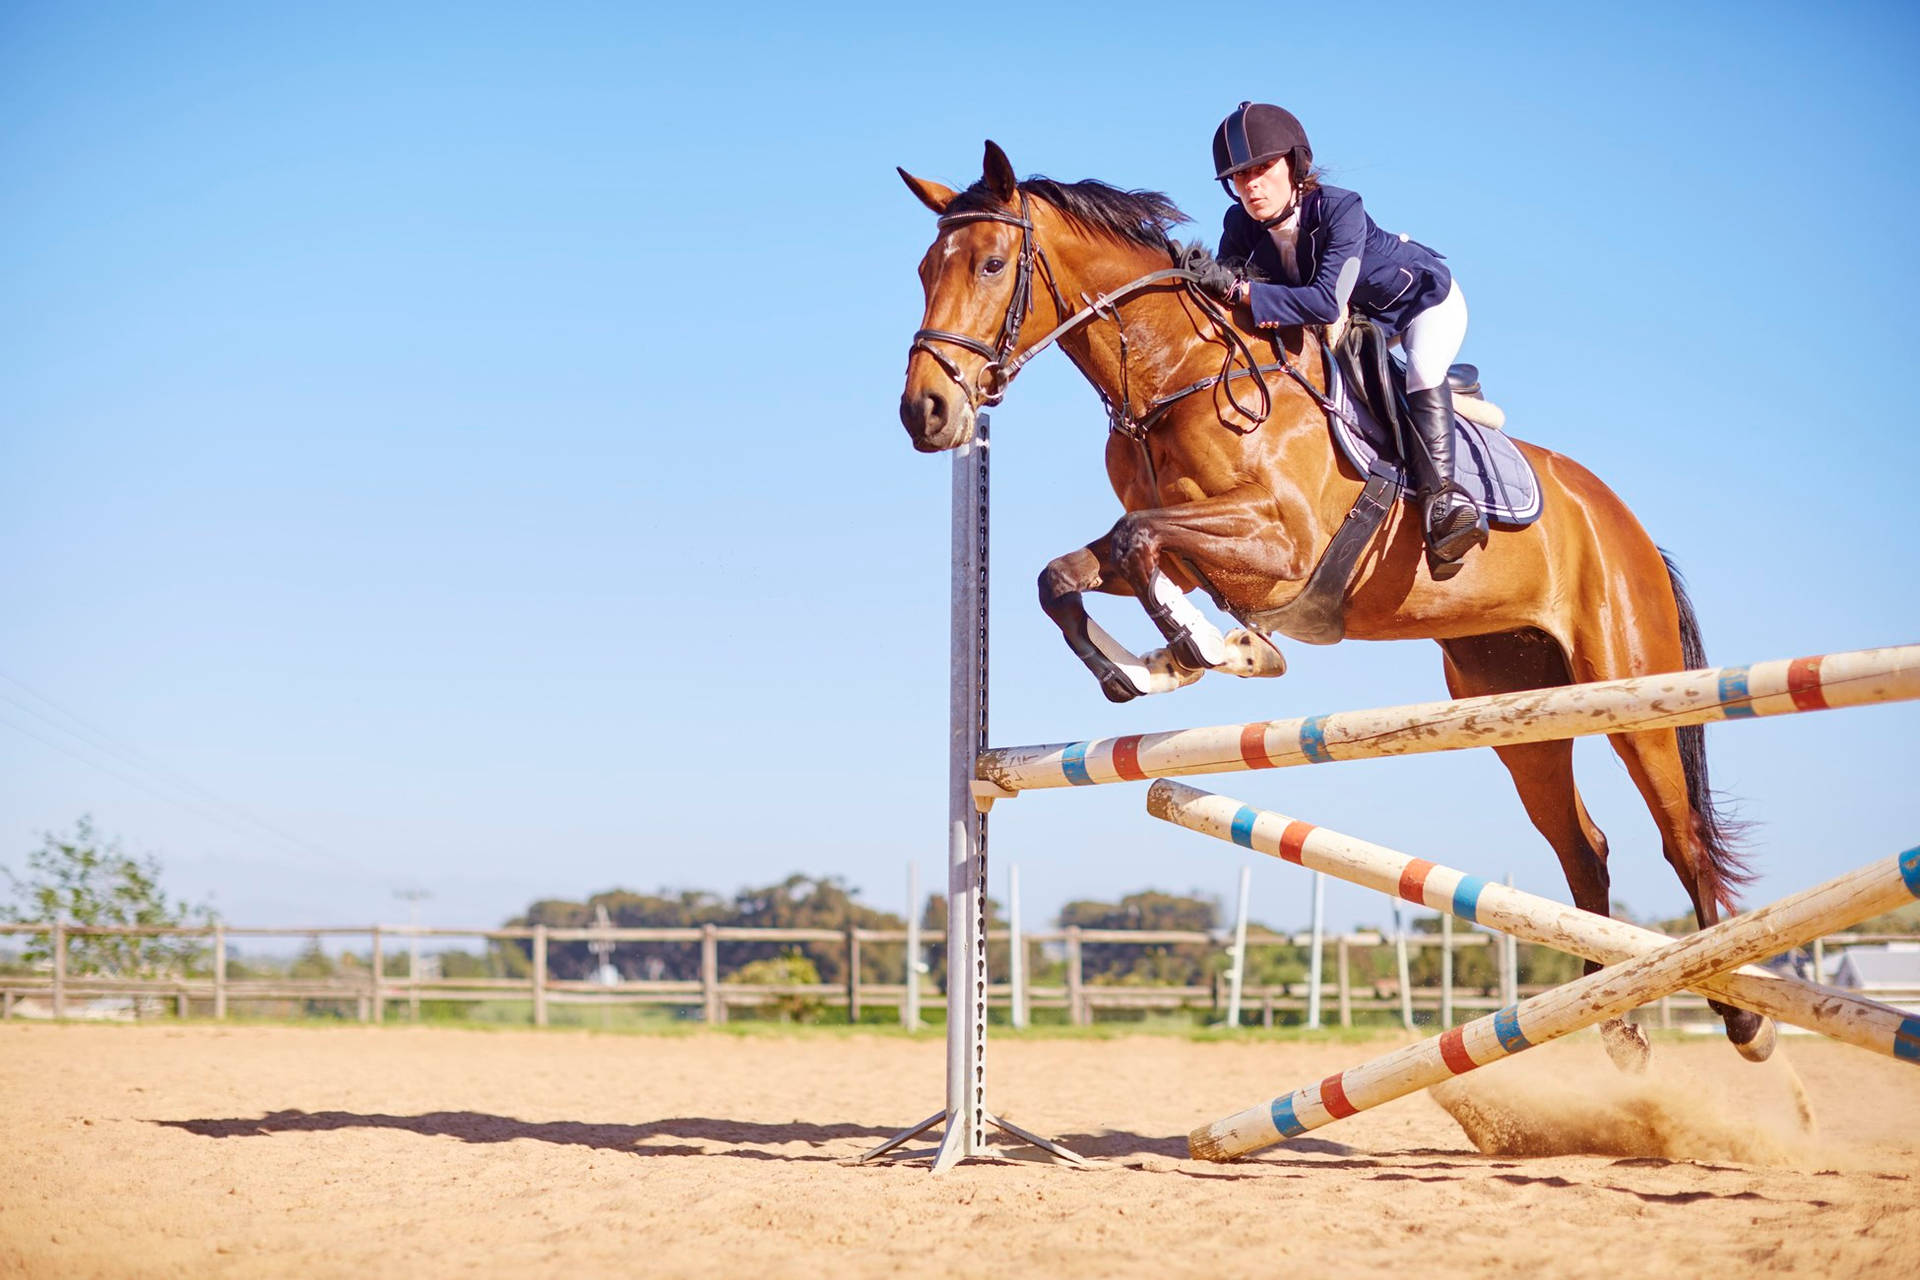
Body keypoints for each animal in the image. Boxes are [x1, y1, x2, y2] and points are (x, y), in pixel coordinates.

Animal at [897, 141, 1772, 1068]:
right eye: (924, 269)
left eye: (992, 264)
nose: (927, 412)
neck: (1180, 375)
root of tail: (1626, 523)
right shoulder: (1196, 553)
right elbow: (1069, 573)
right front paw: (1154, 668)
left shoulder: (1279, 546)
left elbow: (1139, 543)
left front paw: (1221, 651)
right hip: (1514, 703)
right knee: (1585, 847)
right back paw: (1617, 1023)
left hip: (1632, 685)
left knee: (1680, 836)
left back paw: (1743, 1022)